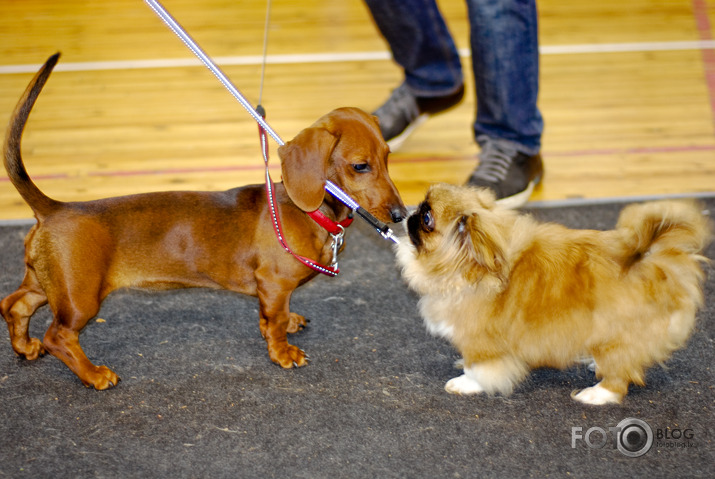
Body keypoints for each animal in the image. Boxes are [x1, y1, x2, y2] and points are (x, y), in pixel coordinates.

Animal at [398, 184, 712, 404]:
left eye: (427, 218)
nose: (409, 214)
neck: (467, 269)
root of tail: (652, 260)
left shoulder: (480, 342)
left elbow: (479, 368)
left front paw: (466, 383)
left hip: (616, 337)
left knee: (619, 377)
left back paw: (597, 394)